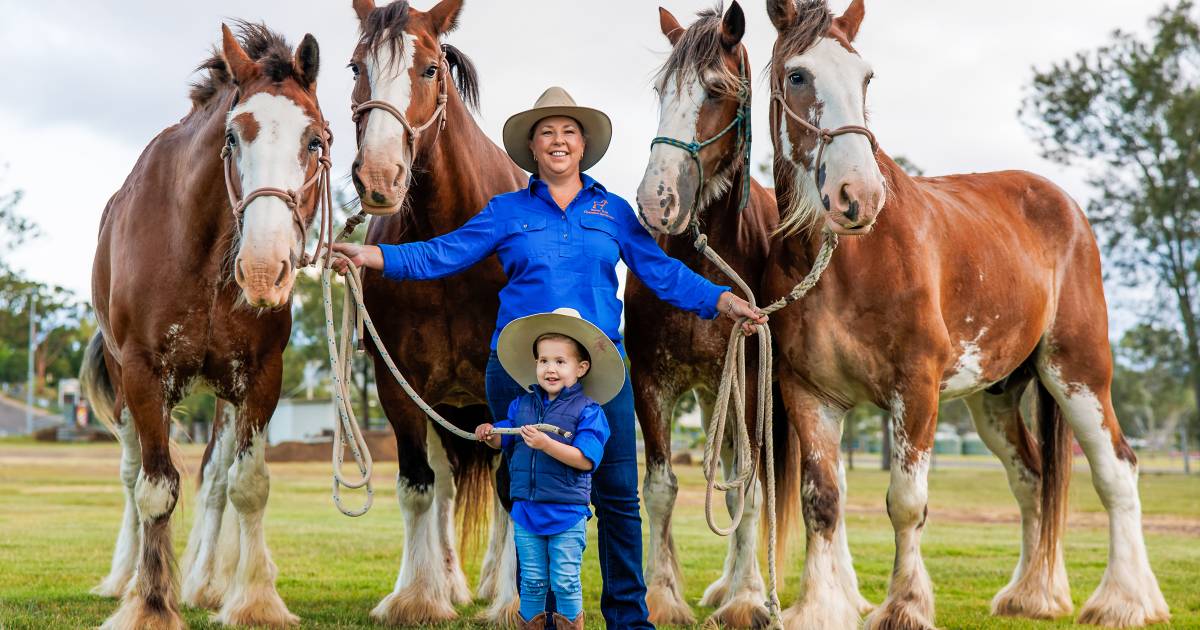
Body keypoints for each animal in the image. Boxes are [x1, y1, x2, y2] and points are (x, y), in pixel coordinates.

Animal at [82, 22, 331, 624]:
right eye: (234, 137)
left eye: (315, 140)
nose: (263, 268)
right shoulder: (145, 376)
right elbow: (154, 489)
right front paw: (150, 604)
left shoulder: (260, 378)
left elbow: (248, 484)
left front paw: (254, 600)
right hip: (126, 391)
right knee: (131, 474)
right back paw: (124, 579)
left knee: (216, 480)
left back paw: (209, 581)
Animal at [345, 0, 528, 619]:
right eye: (356, 67)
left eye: (429, 69)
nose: (379, 177)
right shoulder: (398, 384)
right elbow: (417, 486)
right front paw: (419, 596)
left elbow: (513, 487)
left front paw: (516, 601)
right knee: (446, 485)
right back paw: (449, 580)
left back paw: (497, 581)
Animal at [628, 2, 787, 624]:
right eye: (660, 90)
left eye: (717, 90)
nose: (657, 202)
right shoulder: (652, 380)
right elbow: (661, 488)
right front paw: (659, 597)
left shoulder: (748, 379)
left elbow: (749, 490)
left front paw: (745, 600)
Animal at [648, 1, 1171, 628]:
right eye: (797, 75)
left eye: (867, 78)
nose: (858, 196)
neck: (849, 259)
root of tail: (1065, 204)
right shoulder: (810, 395)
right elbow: (822, 500)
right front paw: (820, 607)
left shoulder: (915, 390)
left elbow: (906, 503)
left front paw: (904, 606)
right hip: (994, 396)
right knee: (1030, 477)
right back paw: (1032, 593)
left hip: (1078, 373)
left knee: (1116, 471)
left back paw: (1126, 599)